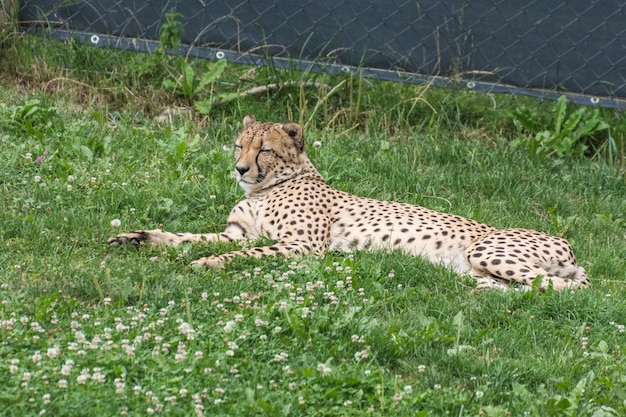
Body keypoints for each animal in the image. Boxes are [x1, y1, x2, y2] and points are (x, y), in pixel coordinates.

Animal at [108, 114, 588, 290]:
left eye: (264, 149)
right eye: (239, 144)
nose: (240, 169)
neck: (267, 188)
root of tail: (567, 245)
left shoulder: (301, 247)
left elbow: (242, 254)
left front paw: (205, 264)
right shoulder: (235, 233)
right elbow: (185, 236)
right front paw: (137, 237)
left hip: (486, 250)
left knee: (560, 289)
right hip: (475, 266)